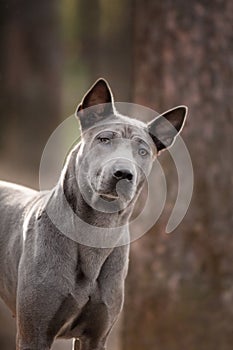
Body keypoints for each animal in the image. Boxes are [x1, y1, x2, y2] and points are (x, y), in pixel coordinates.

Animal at [0, 79, 187, 350]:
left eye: (142, 152)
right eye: (104, 139)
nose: (123, 173)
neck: (96, 229)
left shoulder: (96, 336)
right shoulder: (34, 334)